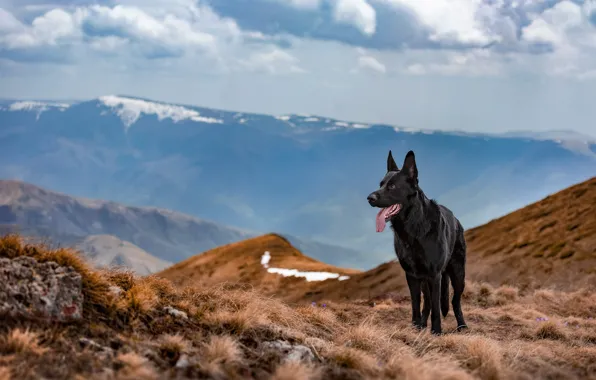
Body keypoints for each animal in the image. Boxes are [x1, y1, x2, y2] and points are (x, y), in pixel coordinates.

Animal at [366, 150, 468, 334]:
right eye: (381, 184)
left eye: (392, 186)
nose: (369, 198)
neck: (414, 228)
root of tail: (456, 219)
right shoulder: (412, 275)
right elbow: (415, 303)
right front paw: (416, 326)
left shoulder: (434, 275)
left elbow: (436, 307)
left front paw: (436, 332)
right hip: (424, 280)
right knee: (426, 302)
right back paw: (422, 324)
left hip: (458, 274)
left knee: (454, 301)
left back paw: (462, 325)